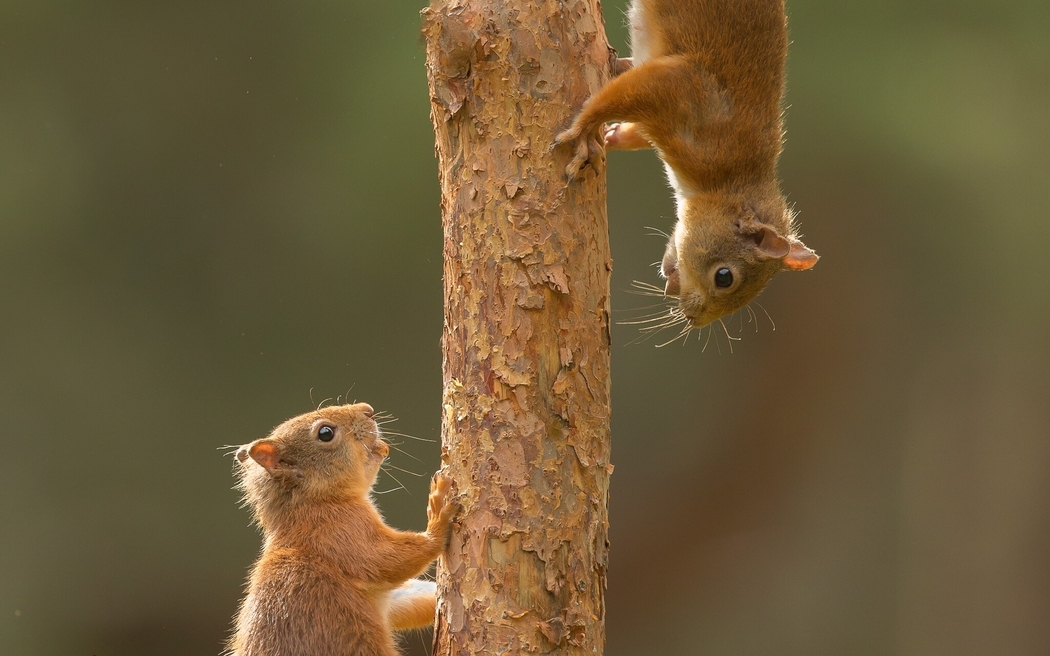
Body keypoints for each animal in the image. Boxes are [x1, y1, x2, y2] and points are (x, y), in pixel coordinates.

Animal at [229, 398, 459, 654]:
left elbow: (406, 599)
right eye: (325, 433)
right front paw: (439, 514)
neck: (315, 503)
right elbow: (388, 560)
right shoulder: (340, 533)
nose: (368, 410)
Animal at [558, 0, 818, 327]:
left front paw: (611, 136)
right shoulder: (685, 92)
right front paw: (584, 130)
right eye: (724, 277)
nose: (693, 319)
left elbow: (636, 127)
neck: (729, 180)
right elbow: (617, 96)